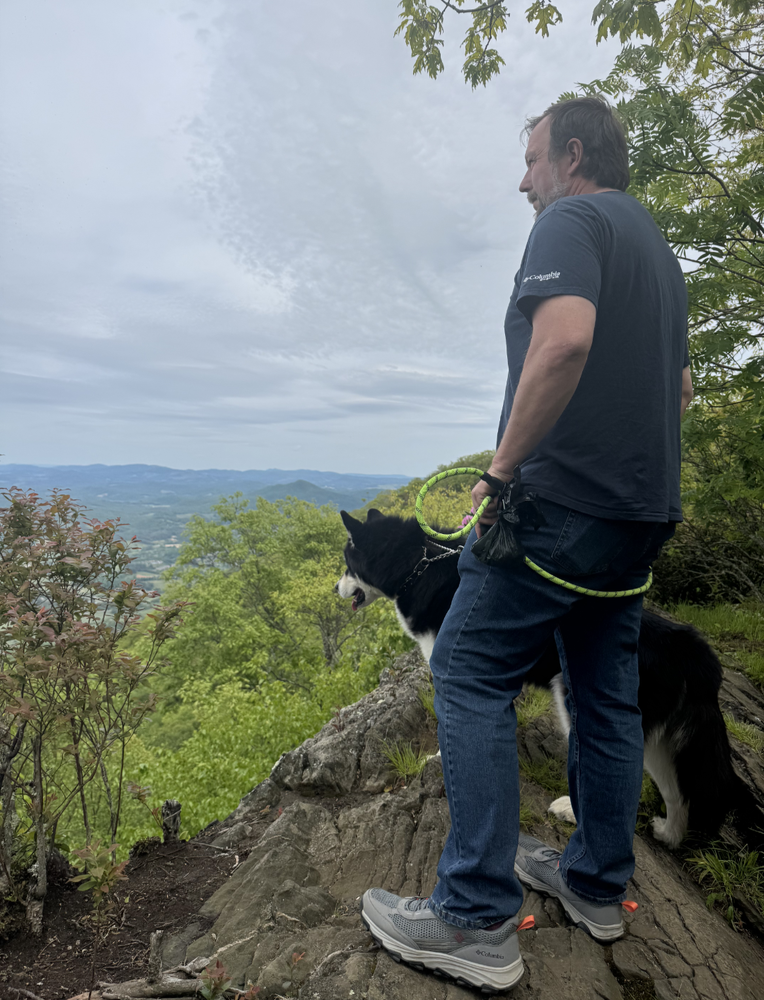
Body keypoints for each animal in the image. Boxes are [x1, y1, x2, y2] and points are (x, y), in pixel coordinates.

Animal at [337, 508, 761, 849]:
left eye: (345, 563)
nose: (333, 587)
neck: (418, 563)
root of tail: (691, 648)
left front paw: (443, 759)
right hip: (658, 736)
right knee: (675, 792)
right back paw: (669, 835)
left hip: (577, 699)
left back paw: (572, 813)